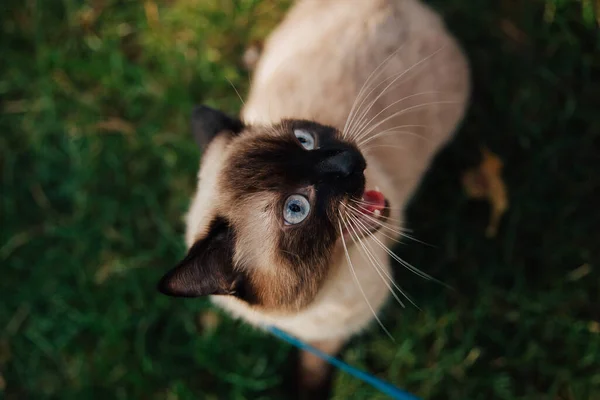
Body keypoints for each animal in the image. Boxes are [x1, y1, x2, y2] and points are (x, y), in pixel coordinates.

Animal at [158, 0, 468, 390]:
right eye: (296, 208)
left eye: (304, 140)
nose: (349, 162)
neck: (324, 288)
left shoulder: (332, 335)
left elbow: (314, 367)